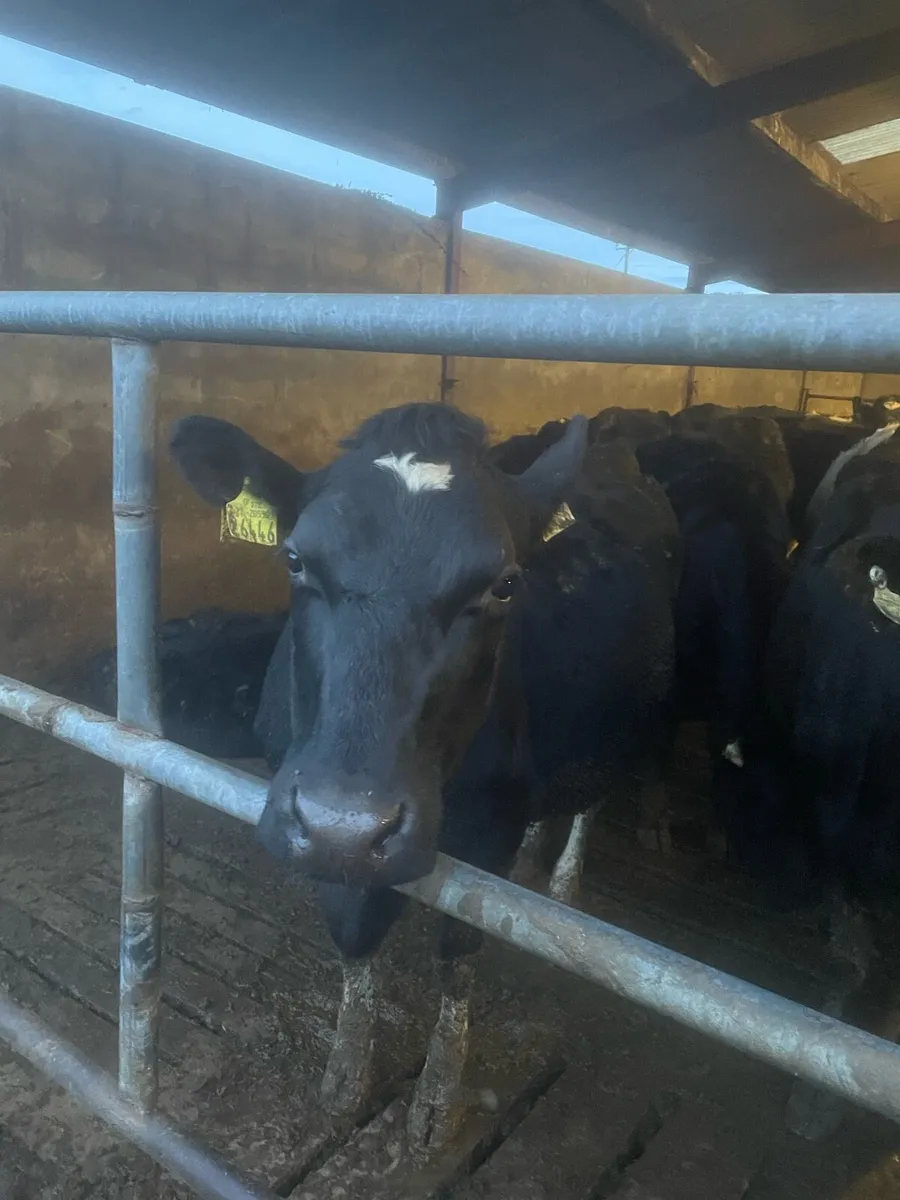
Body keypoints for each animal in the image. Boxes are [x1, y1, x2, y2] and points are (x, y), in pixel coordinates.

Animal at [169, 402, 588, 1160]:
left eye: (504, 584)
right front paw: (346, 1070)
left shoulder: (497, 825)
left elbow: (460, 953)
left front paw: (437, 1097)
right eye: (294, 558)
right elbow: (354, 934)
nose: (346, 824)